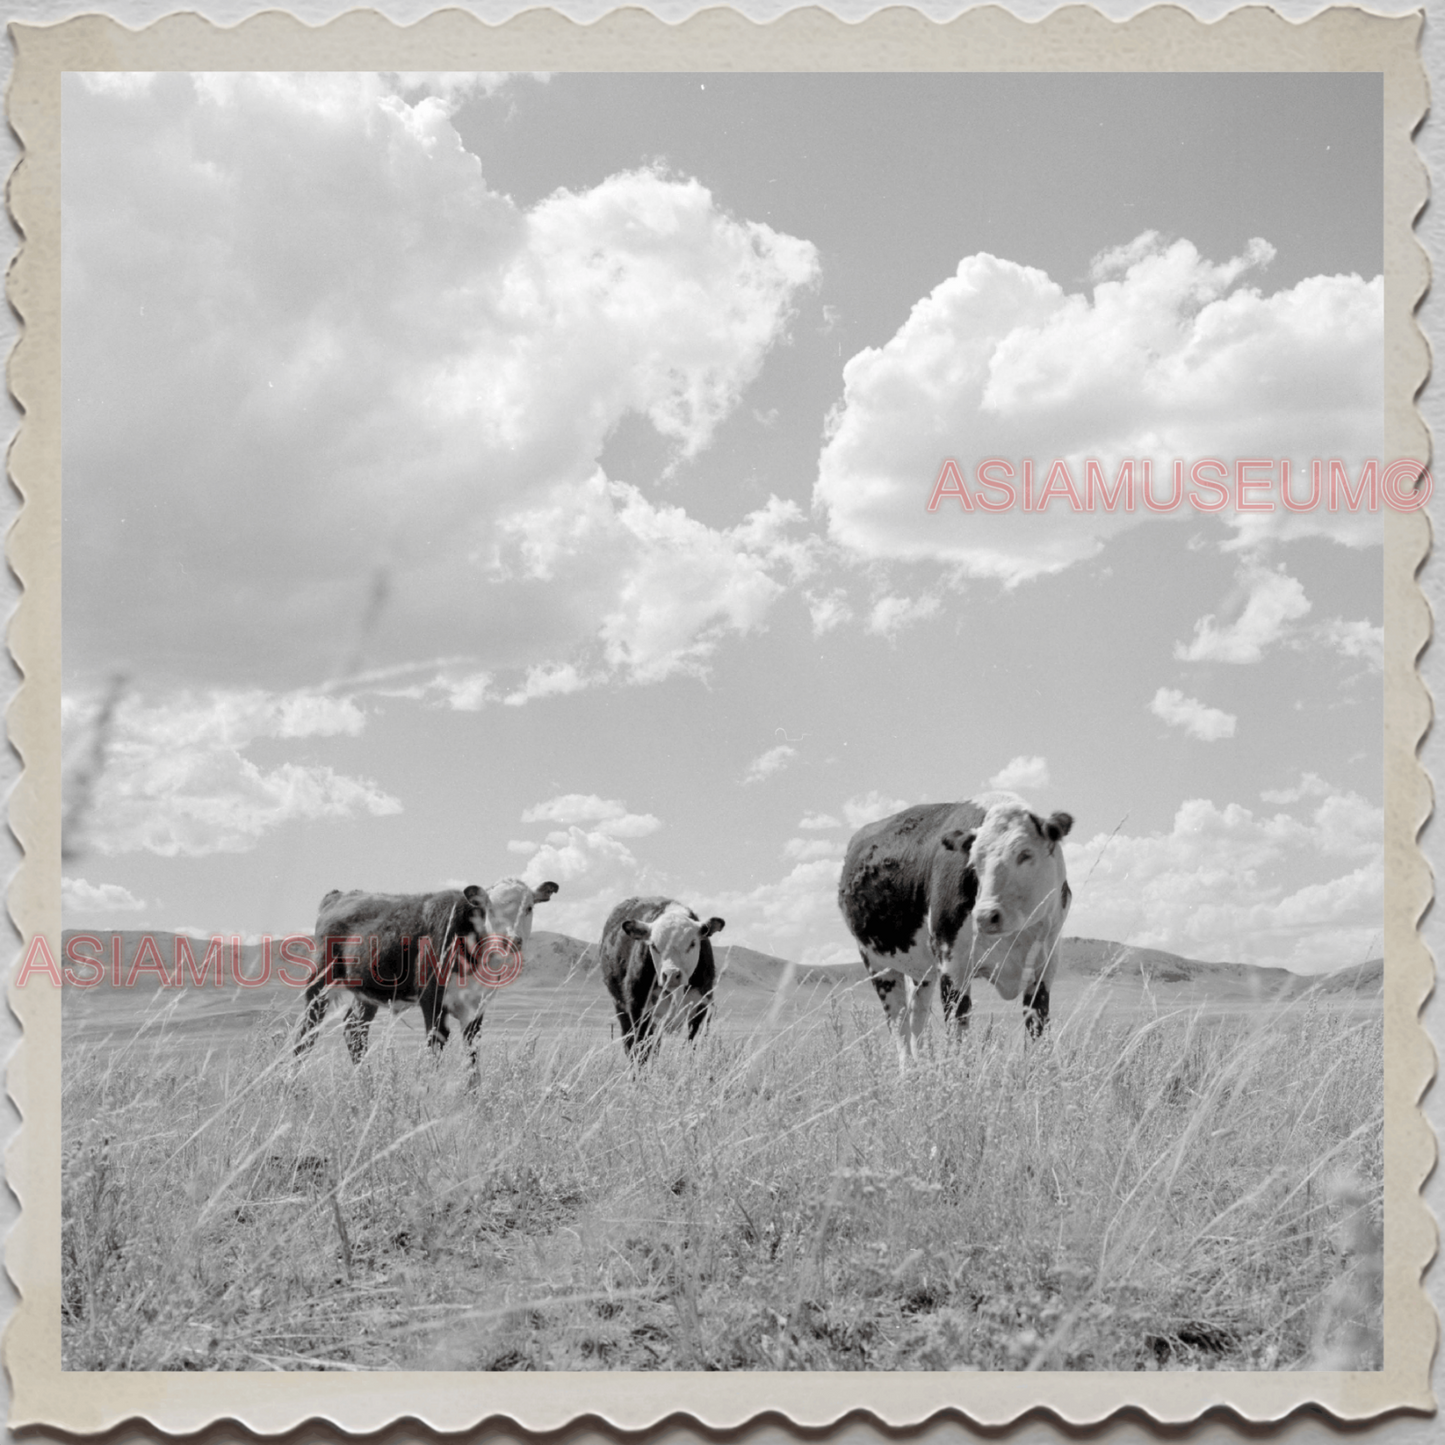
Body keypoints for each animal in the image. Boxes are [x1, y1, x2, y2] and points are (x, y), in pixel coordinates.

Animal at [293, 872, 557, 1069]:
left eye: (529, 908)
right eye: (488, 909)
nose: (511, 940)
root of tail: (339, 896)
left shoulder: (476, 1006)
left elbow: (472, 1056)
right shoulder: (431, 997)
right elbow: (435, 1044)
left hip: (365, 991)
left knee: (355, 1030)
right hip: (319, 981)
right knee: (306, 1032)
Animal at [595, 890, 722, 1063]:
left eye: (692, 943)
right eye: (654, 945)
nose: (671, 974)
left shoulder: (701, 1006)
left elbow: (691, 1047)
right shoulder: (639, 1008)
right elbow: (642, 1051)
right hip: (621, 1007)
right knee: (632, 1044)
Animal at [838, 797, 1075, 1069]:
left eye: (1025, 854)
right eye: (974, 862)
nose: (985, 915)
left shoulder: (1043, 968)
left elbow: (1037, 1032)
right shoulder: (953, 966)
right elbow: (957, 1037)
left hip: (921, 973)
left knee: (916, 1020)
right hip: (878, 964)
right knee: (899, 1026)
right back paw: (909, 1072)